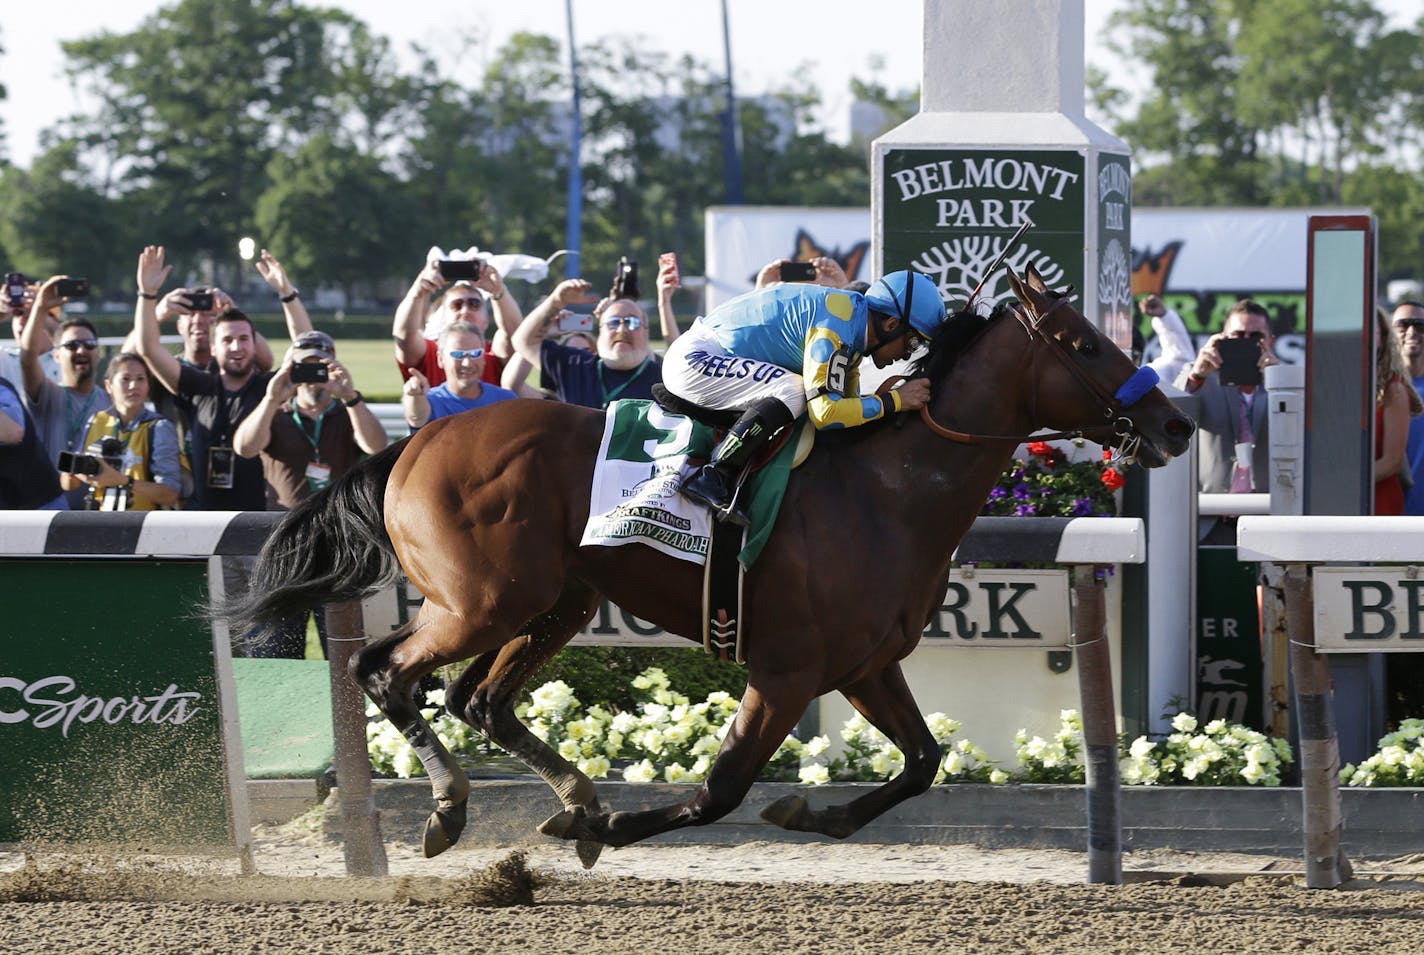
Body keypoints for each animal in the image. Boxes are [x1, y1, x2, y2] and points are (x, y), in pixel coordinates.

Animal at [230, 263, 1190, 865]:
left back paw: (573, 797)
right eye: (1084, 343)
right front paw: (614, 831)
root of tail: (416, 439)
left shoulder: (866, 663)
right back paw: (455, 807)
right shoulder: (788, 666)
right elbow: (722, 788)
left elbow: (922, 760)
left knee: (477, 698)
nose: (1177, 424)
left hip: (554, 599)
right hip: (479, 601)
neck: (884, 490)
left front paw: (812, 810)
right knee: (383, 670)